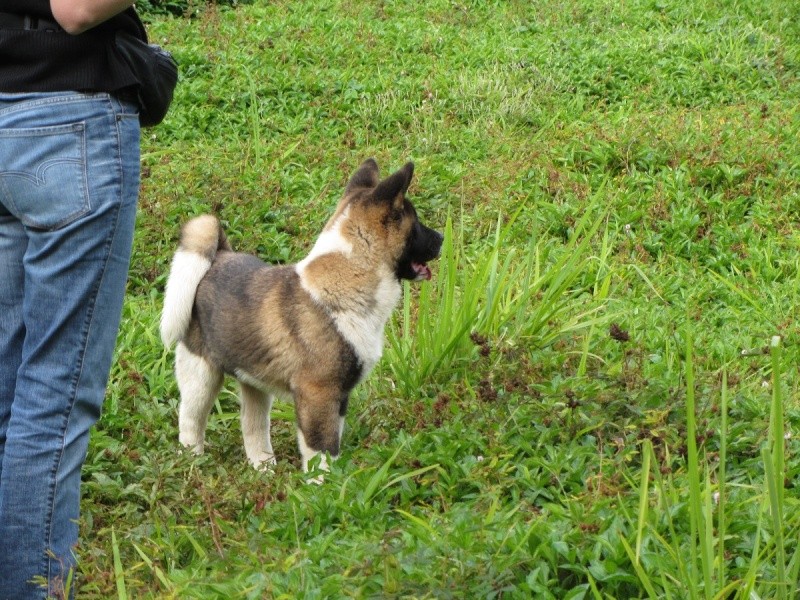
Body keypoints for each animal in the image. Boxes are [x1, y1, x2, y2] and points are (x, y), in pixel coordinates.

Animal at [161, 158, 444, 474]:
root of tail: (217, 257)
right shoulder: (318, 395)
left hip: (254, 380)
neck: (347, 277)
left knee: (253, 426)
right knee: (190, 421)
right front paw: (322, 485)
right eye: (415, 223)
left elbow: (333, 446)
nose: (442, 238)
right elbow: (321, 449)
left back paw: (264, 470)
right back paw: (191, 462)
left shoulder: (338, 398)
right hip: (201, 374)